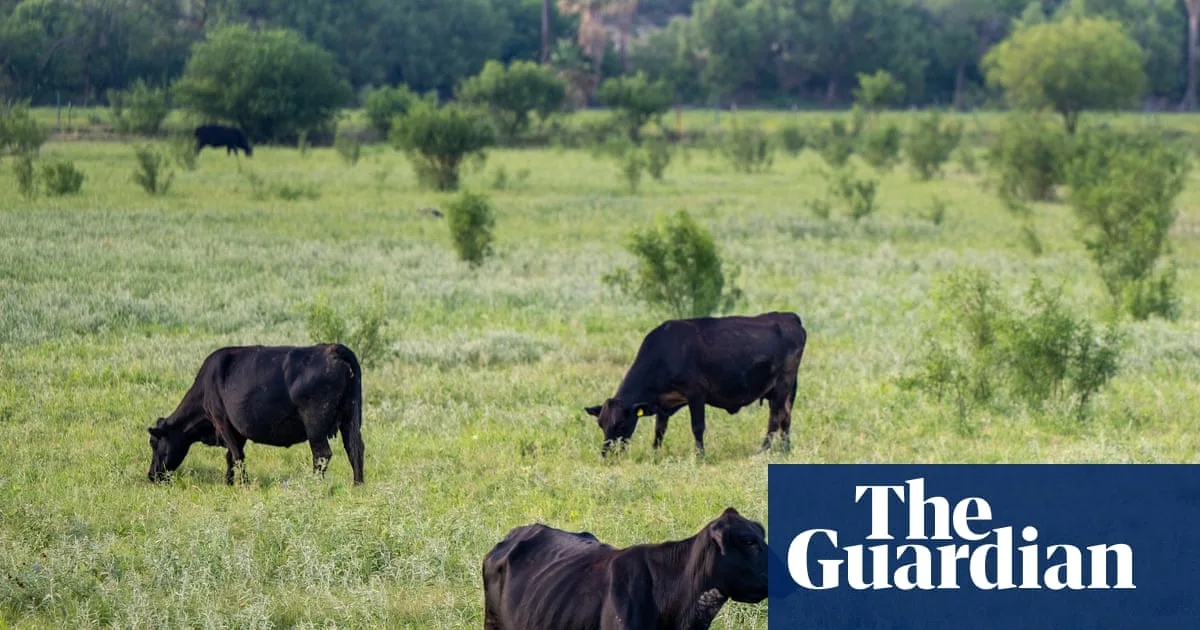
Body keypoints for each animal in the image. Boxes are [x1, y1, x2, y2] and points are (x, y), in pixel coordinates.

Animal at [147, 344, 364, 485]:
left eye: (154, 443)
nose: (151, 475)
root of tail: (333, 348)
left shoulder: (222, 420)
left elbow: (237, 456)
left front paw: (243, 484)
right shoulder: (238, 428)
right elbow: (231, 456)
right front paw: (229, 482)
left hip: (315, 424)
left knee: (322, 454)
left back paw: (314, 485)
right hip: (350, 418)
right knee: (355, 448)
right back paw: (358, 484)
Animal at [585, 312, 806, 457]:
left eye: (621, 424)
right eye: (601, 424)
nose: (606, 454)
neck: (664, 353)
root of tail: (788, 316)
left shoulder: (696, 394)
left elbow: (697, 427)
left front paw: (700, 455)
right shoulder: (664, 404)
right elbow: (659, 429)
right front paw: (655, 452)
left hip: (782, 385)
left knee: (776, 418)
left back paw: (764, 449)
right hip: (782, 390)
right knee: (786, 417)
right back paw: (785, 449)